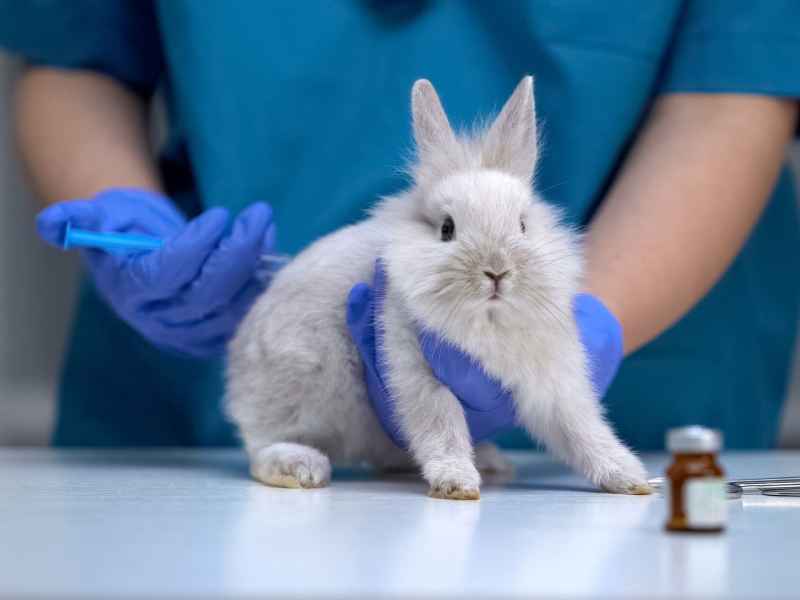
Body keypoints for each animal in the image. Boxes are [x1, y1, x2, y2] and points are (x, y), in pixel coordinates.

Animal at [225, 77, 648, 500]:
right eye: (447, 229)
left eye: (523, 225)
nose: (497, 271)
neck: (488, 322)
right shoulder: (416, 368)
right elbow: (440, 423)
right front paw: (457, 482)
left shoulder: (554, 378)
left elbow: (581, 428)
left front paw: (630, 478)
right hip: (303, 384)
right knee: (262, 447)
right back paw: (300, 466)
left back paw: (489, 460)